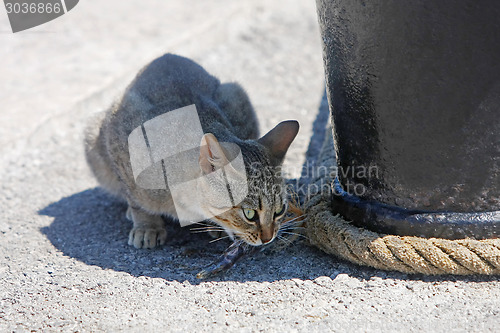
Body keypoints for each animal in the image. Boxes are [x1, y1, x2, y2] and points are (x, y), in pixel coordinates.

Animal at [84, 53, 298, 248]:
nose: (268, 238)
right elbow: (135, 198)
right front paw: (147, 225)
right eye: (250, 214)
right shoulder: (120, 138)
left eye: (280, 211)